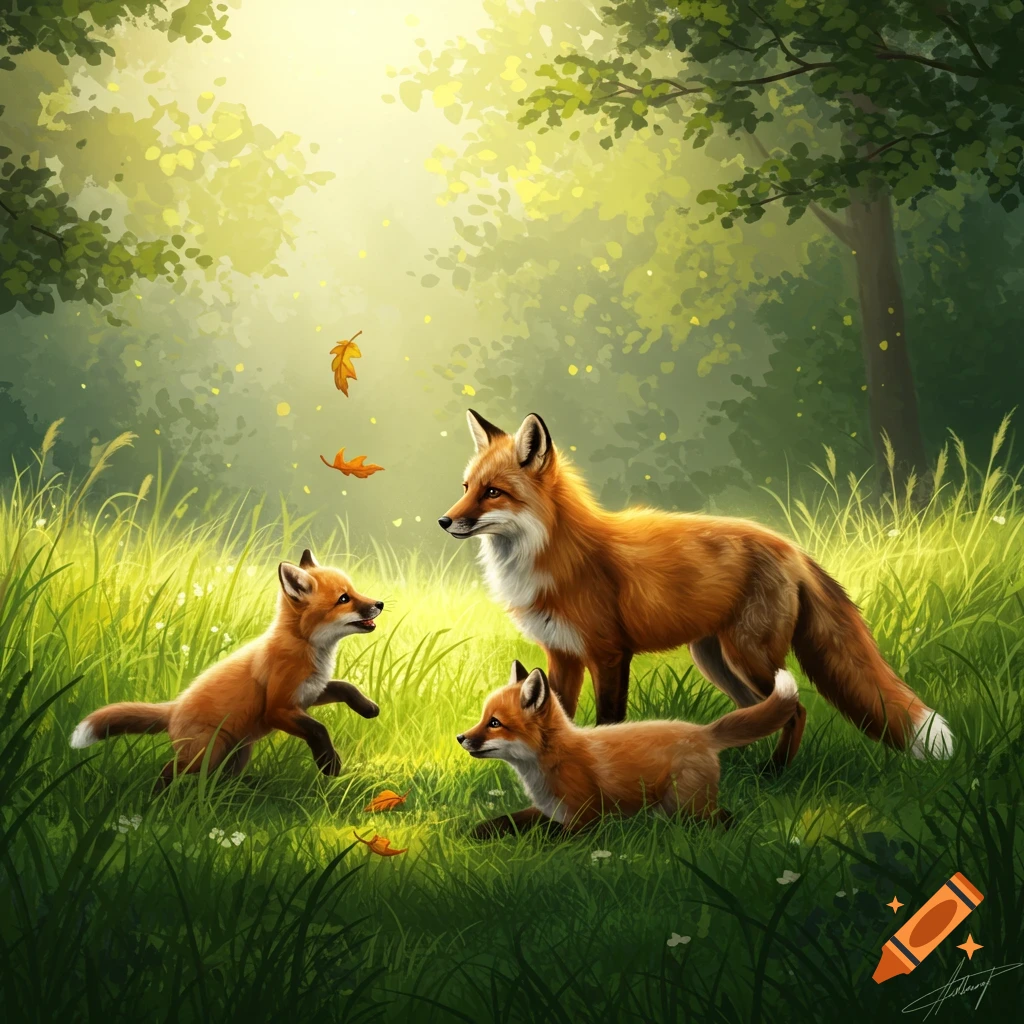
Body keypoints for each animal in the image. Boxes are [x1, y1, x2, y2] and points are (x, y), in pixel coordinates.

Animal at [69, 549, 383, 790]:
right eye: (344, 599)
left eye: (354, 591)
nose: (379, 603)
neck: (306, 647)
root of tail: (174, 708)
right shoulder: (278, 708)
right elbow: (318, 728)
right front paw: (329, 763)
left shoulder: (309, 693)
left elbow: (344, 686)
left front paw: (368, 708)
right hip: (207, 754)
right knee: (171, 770)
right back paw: (157, 799)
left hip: (236, 755)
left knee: (216, 782)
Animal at [439, 409, 953, 770]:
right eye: (465, 487)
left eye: (492, 492)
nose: (445, 521)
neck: (551, 555)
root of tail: (789, 545)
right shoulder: (561, 654)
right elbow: (555, 717)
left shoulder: (608, 653)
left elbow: (609, 719)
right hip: (716, 660)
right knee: (763, 711)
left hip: (748, 655)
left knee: (797, 711)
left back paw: (776, 775)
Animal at [459, 660, 800, 837]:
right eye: (483, 718)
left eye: (494, 723)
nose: (460, 738)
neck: (554, 760)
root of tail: (702, 731)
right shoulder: (549, 810)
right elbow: (506, 820)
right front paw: (473, 833)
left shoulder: (585, 819)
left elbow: (548, 837)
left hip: (687, 806)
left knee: (723, 820)